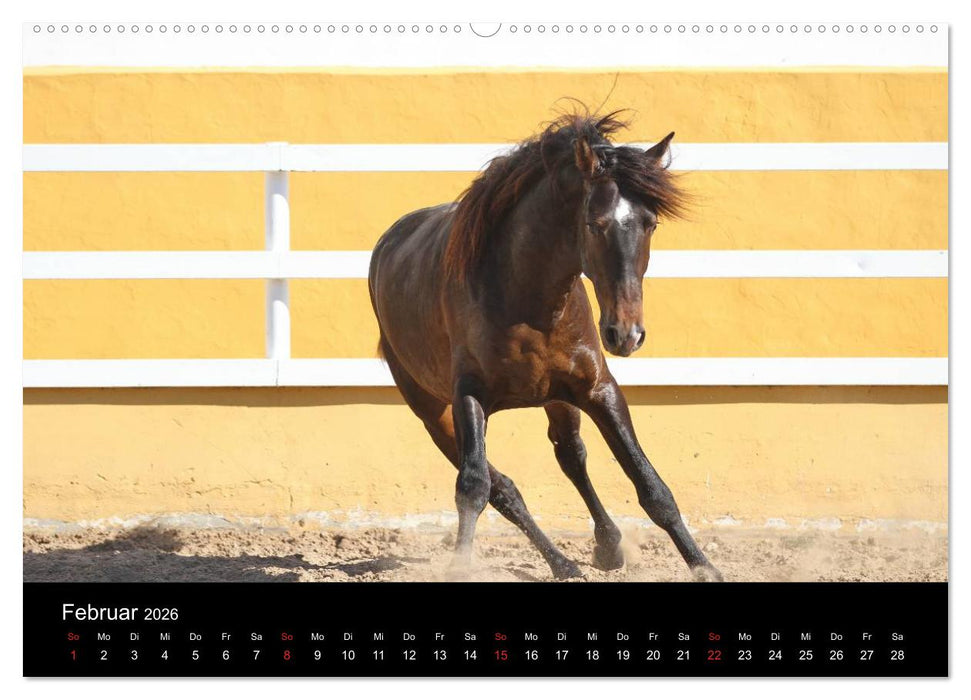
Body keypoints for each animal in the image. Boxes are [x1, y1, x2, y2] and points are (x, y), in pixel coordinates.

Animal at [367, 110, 723, 582]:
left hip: (557, 398)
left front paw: (704, 567)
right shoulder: (468, 396)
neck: (527, 297)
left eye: (650, 223)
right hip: (432, 412)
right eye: (595, 223)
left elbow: (651, 485)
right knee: (502, 487)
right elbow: (474, 486)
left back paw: (603, 547)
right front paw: (460, 566)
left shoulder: (598, 390)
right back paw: (563, 562)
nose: (626, 333)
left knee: (570, 456)